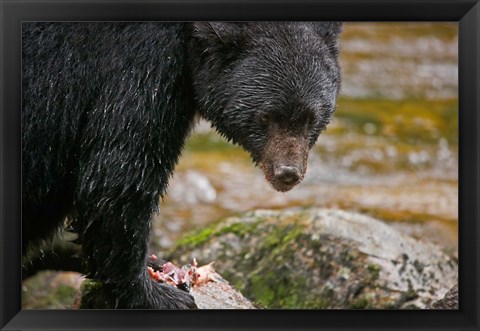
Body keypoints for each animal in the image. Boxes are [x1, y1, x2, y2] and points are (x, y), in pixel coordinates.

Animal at [21, 22, 342, 310]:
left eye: (311, 117)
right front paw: (154, 293)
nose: (287, 173)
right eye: (267, 116)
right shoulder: (141, 67)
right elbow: (117, 176)